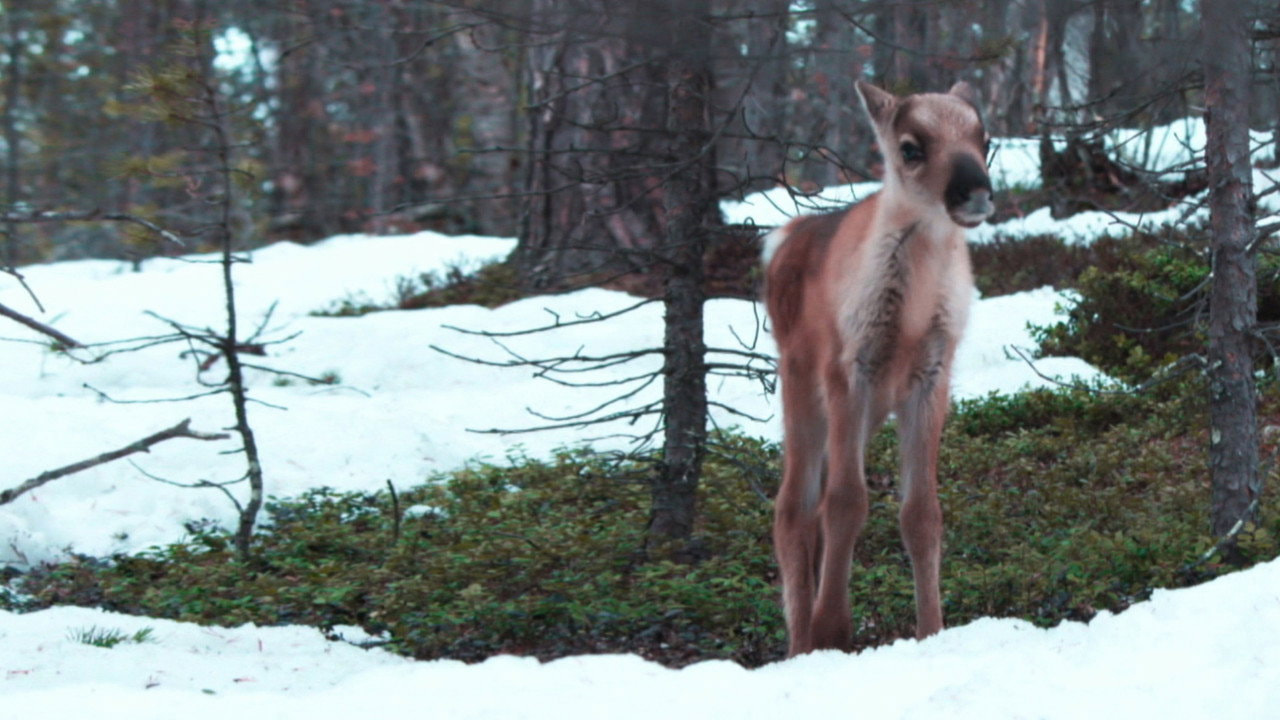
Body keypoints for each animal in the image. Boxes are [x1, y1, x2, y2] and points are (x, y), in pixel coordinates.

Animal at [763, 81, 994, 657]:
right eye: (910, 147)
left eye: (984, 138)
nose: (976, 192)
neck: (910, 316)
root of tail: (783, 238)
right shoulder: (851, 369)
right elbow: (846, 502)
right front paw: (831, 630)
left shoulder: (933, 374)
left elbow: (922, 513)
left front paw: (931, 629)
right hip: (801, 382)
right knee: (795, 506)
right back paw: (800, 642)